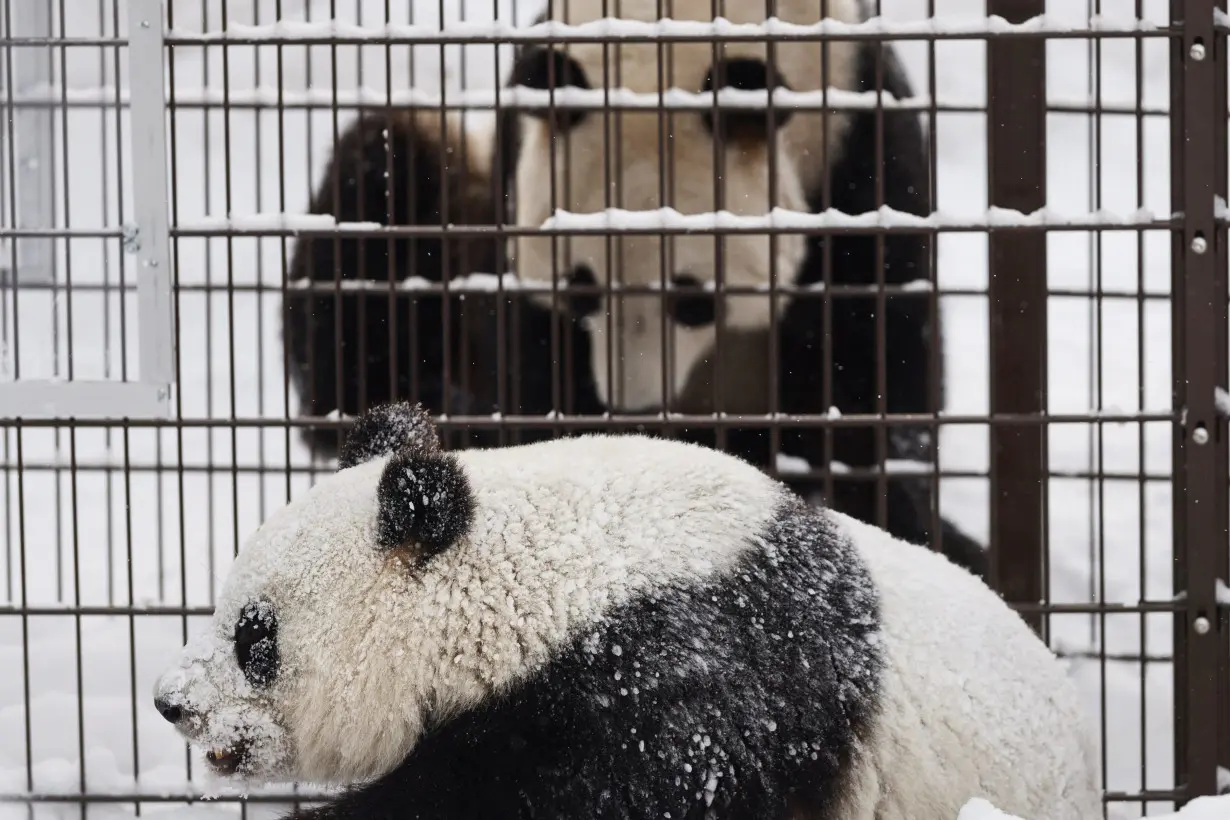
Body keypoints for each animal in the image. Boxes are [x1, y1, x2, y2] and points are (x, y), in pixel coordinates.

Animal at [279, 0, 988, 577]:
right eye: (582, 292)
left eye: (694, 299)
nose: (632, 408)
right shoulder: (518, 156)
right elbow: (529, 358)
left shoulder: (856, 126)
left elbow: (878, 345)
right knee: (382, 172)